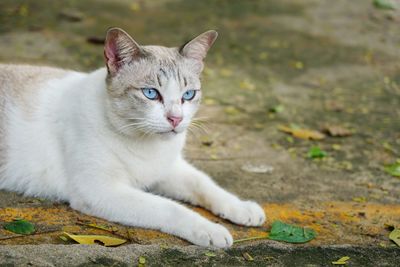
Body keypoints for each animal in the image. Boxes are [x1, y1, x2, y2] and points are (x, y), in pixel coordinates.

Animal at [0, 28, 266, 248]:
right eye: (151, 93)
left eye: (188, 95)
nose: (176, 119)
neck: (145, 143)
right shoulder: (99, 189)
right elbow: (169, 207)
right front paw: (210, 230)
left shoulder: (166, 169)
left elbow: (204, 184)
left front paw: (242, 208)